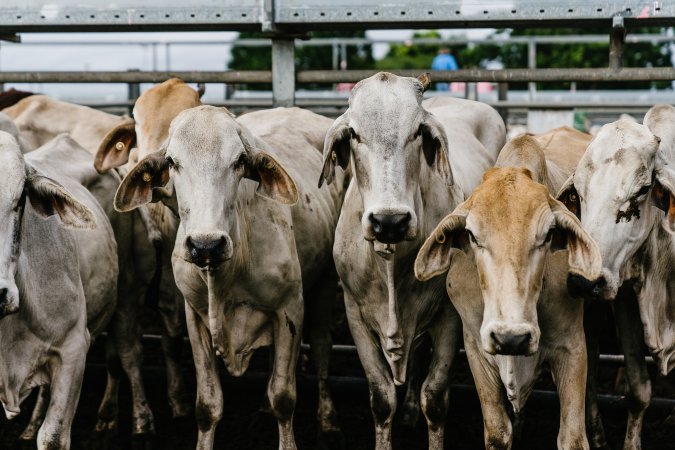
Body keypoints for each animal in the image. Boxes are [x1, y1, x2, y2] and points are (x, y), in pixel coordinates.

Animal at [113, 106, 346, 450]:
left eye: (238, 160)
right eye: (171, 161)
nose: (206, 244)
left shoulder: (289, 308)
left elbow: (284, 398)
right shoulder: (195, 317)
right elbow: (208, 405)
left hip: (326, 281)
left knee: (320, 347)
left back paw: (329, 421)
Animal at [320, 72, 504, 448]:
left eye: (418, 131)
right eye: (354, 133)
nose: (389, 221)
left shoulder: (449, 316)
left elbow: (434, 398)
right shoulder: (354, 314)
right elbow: (381, 398)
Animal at [418, 131, 604, 450]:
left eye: (548, 235)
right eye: (472, 235)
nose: (511, 336)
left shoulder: (572, 348)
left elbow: (572, 438)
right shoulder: (475, 348)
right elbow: (497, 433)